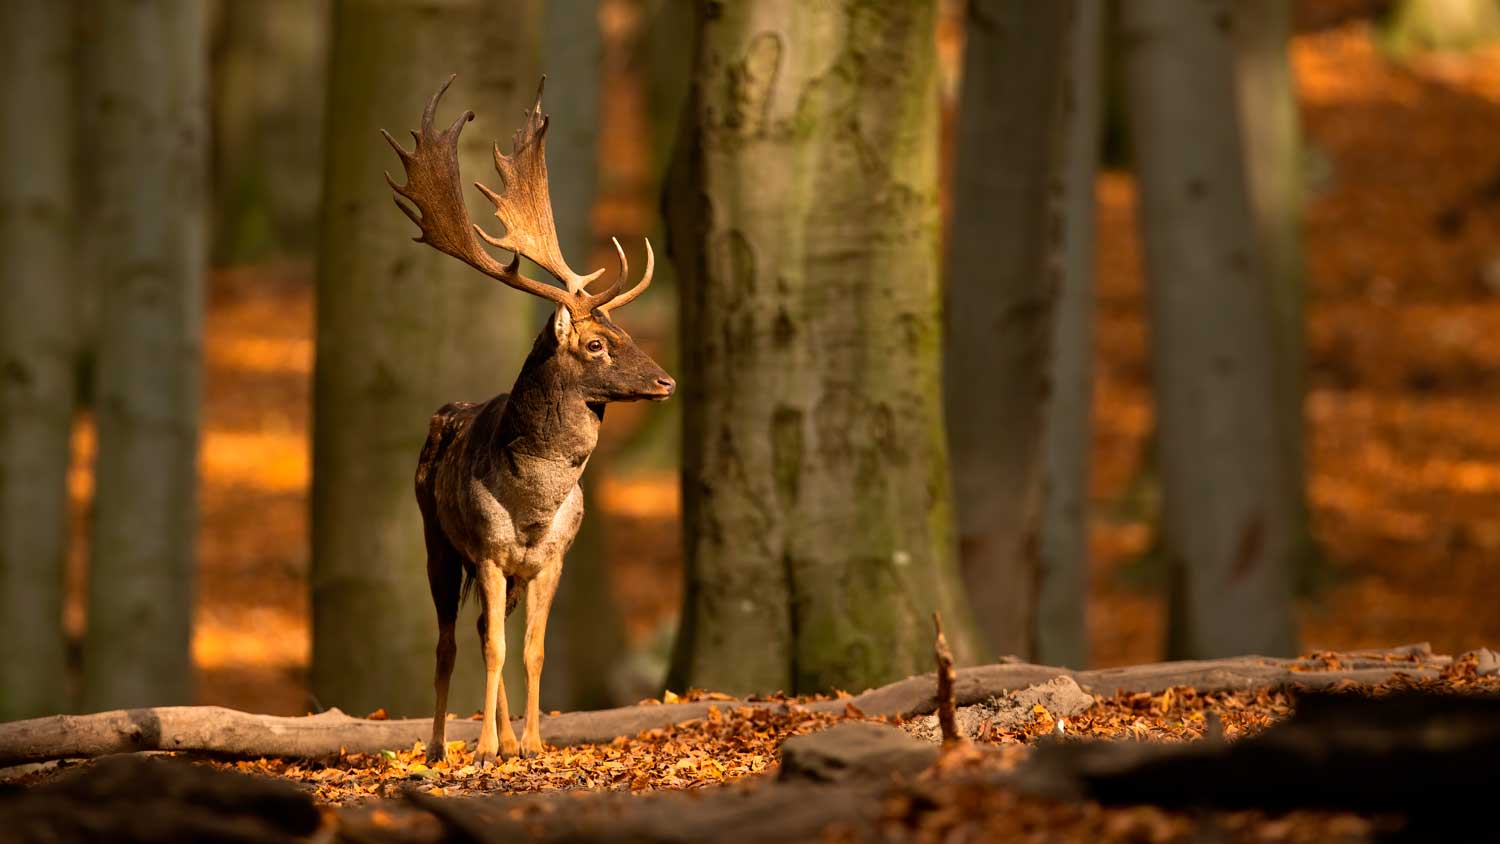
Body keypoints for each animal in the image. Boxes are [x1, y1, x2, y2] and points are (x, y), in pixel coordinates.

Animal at [382, 76, 674, 764]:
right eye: (595, 344)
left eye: (624, 333)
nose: (666, 381)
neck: (535, 500)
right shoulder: (488, 549)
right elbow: (490, 647)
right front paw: (483, 748)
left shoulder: (551, 557)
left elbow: (533, 650)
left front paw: (536, 744)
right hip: (435, 539)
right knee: (450, 639)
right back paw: (442, 745)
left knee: (483, 627)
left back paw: (512, 739)